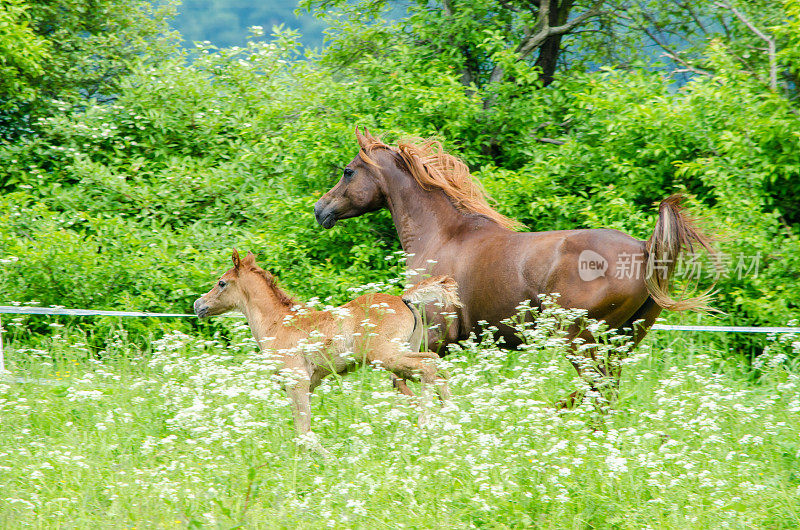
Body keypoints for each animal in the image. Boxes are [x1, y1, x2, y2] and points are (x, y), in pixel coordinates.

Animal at [193, 250, 460, 440]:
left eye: (221, 283)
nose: (198, 305)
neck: (277, 323)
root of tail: (403, 299)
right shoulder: (309, 385)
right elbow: (302, 428)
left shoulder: (297, 380)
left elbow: (304, 430)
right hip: (403, 353)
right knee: (435, 367)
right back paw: (452, 419)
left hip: (385, 355)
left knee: (429, 366)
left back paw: (427, 422)